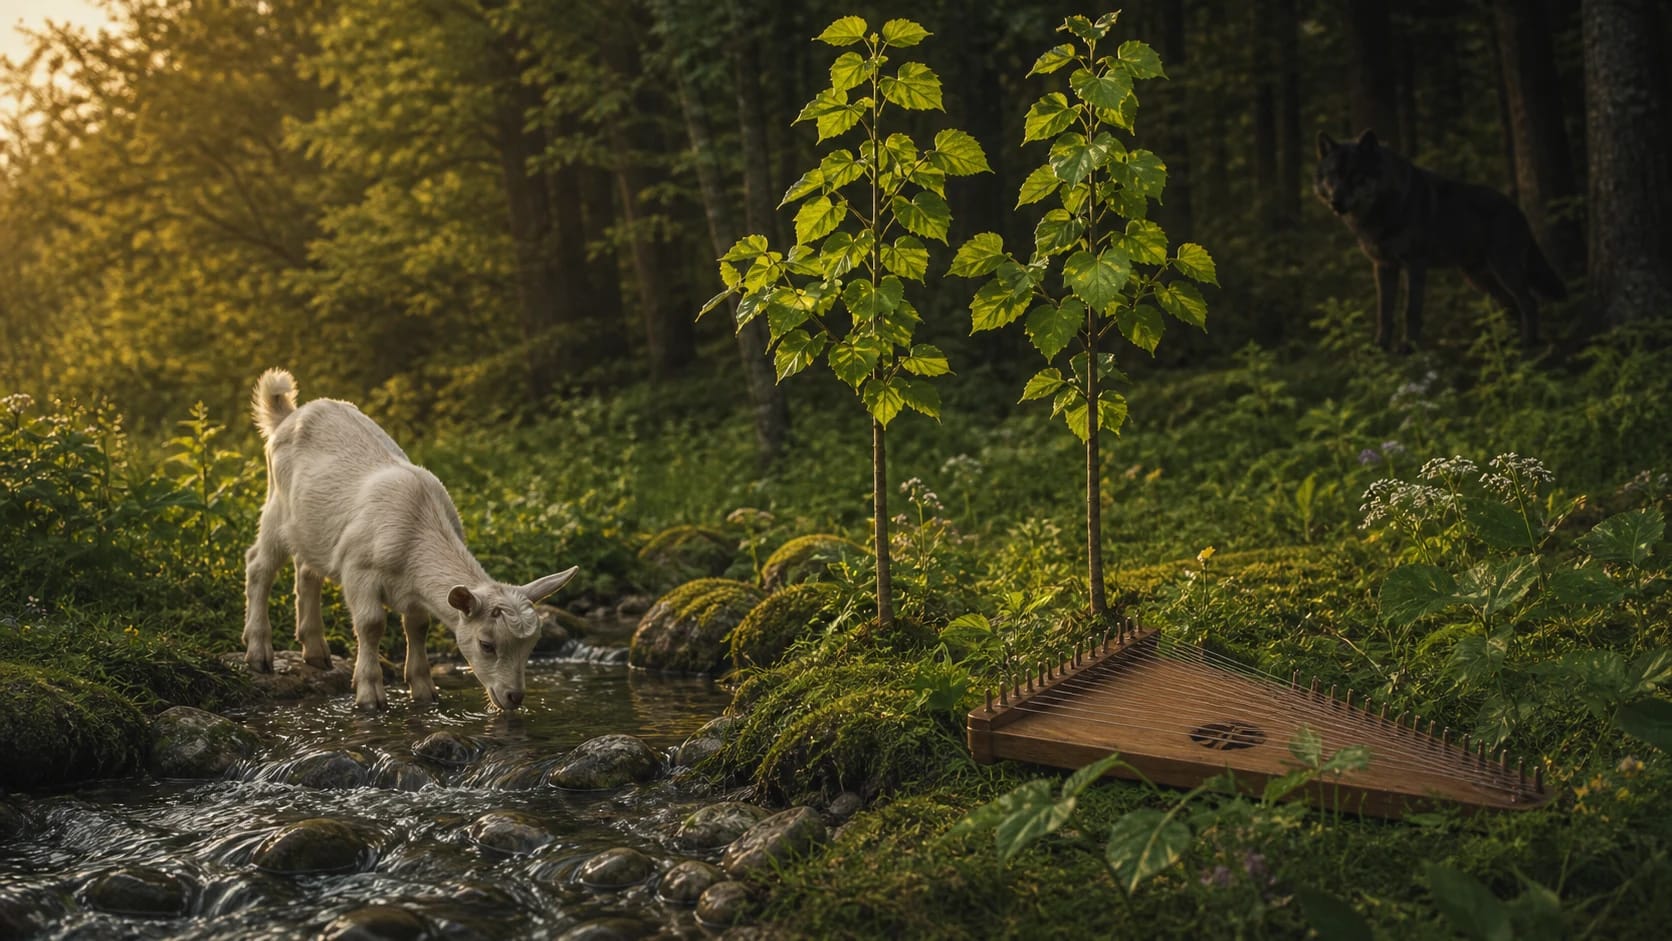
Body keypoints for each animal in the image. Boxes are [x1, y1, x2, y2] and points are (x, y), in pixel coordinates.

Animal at [242, 368, 577, 711]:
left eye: (532, 645)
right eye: (486, 644)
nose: (514, 696)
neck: (417, 531)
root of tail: (289, 414)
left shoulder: (415, 591)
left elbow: (417, 627)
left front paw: (424, 690)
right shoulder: (358, 571)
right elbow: (371, 624)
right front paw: (370, 695)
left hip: (312, 530)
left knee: (308, 573)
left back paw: (316, 651)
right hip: (277, 510)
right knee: (259, 566)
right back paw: (259, 652)